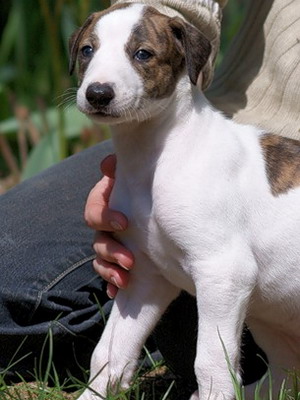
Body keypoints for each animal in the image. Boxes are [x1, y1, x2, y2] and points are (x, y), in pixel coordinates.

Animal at [69, 3, 300, 400]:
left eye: (142, 54)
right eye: (87, 50)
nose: (98, 93)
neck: (156, 156)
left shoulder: (223, 272)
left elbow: (210, 363)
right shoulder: (144, 276)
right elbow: (110, 352)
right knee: (286, 374)